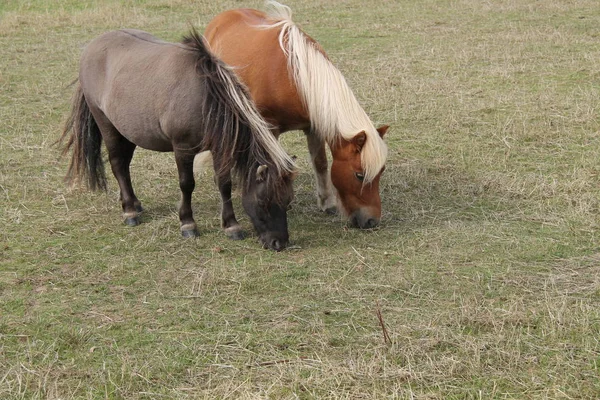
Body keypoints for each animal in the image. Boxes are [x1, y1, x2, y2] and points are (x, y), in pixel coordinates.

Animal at [59, 29, 296, 252]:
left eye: (287, 201)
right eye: (264, 201)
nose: (279, 243)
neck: (206, 97)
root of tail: (92, 47)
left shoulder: (219, 149)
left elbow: (224, 184)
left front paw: (231, 226)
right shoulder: (183, 148)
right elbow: (187, 184)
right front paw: (188, 223)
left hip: (128, 131)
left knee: (124, 167)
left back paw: (135, 204)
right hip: (107, 126)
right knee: (118, 165)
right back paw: (129, 212)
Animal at [204, 1, 390, 230]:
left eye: (381, 172)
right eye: (359, 175)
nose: (372, 220)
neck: (296, 77)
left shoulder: (314, 126)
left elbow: (320, 163)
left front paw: (327, 202)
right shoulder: (269, 129)